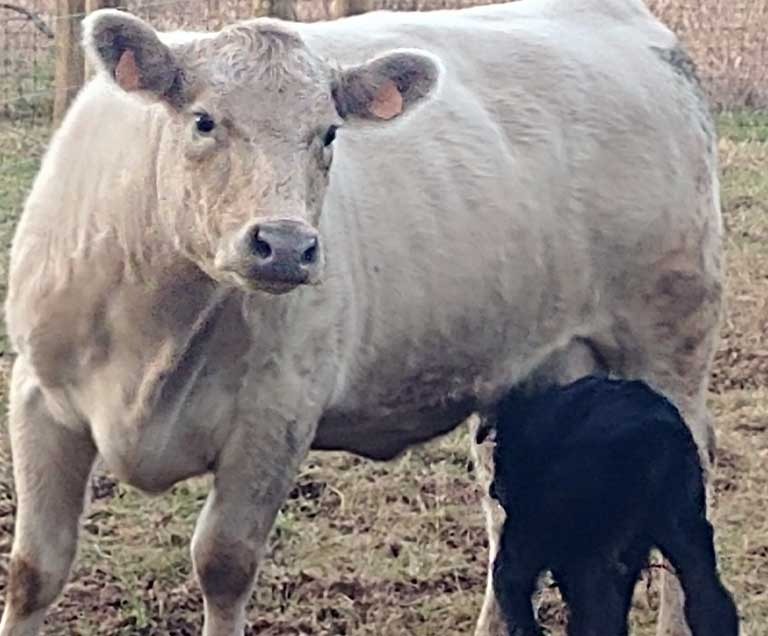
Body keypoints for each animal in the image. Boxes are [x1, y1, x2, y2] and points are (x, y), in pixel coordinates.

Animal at [486, 378, 736, 636]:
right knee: (710, 601)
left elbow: (511, 582)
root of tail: (658, 437)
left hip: (581, 544)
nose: (494, 489)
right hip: (684, 526)